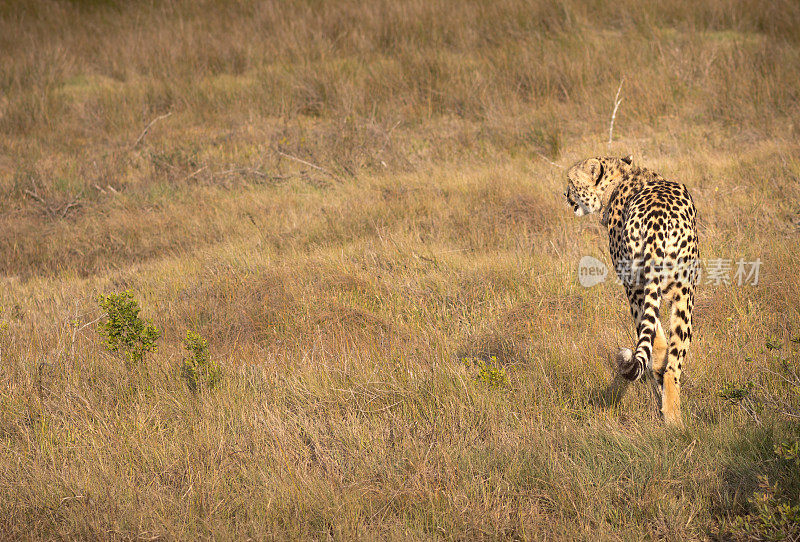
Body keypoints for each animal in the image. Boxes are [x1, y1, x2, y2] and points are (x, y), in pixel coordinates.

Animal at [564, 157, 696, 430]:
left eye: (572, 182)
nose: (565, 195)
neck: (622, 174)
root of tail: (658, 222)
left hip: (635, 286)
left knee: (655, 343)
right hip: (683, 291)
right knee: (673, 363)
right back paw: (674, 419)